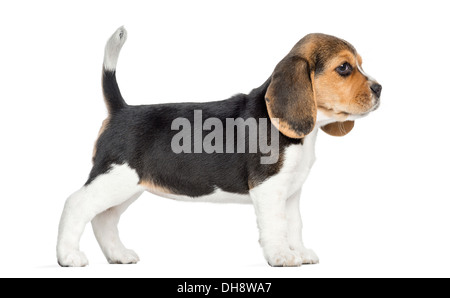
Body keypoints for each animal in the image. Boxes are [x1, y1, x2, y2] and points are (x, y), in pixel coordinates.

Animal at [56, 26, 380, 266]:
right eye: (344, 68)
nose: (380, 88)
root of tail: (121, 110)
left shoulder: (291, 192)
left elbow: (294, 225)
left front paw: (298, 252)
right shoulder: (269, 189)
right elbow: (276, 225)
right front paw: (281, 256)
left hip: (127, 186)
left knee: (104, 218)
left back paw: (118, 255)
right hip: (113, 178)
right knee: (75, 204)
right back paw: (68, 256)